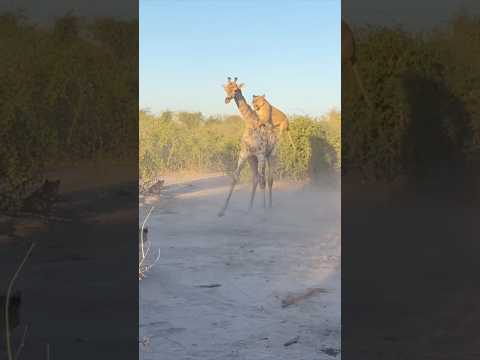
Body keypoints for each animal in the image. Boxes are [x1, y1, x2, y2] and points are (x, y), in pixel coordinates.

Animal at [218, 77, 278, 217]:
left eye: (236, 89)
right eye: (226, 89)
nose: (227, 99)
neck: (250, 123)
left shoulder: (261, 154)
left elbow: (263, 181)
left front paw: (264, 213)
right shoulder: (244, 154)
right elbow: (235, 178)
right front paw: (222, 210)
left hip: (271, 155)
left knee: (269, 179)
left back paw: (270, 207)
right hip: (252, 159)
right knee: (255, 178)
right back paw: (249, 208)